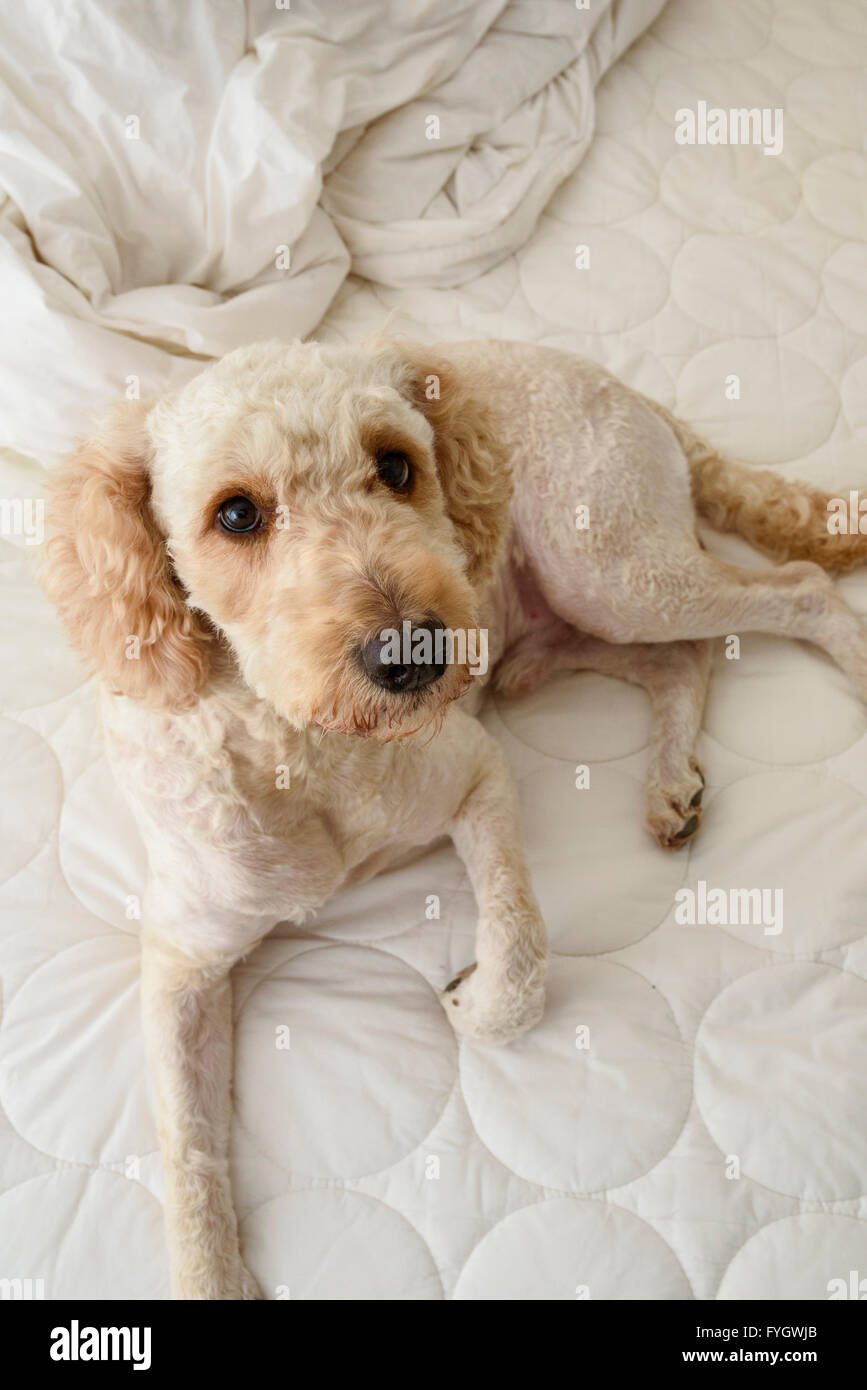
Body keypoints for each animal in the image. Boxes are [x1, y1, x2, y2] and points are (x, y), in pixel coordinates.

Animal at [42, 333, 867, 1289]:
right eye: (236, 515)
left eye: (396, 466)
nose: (416, 651)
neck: (307, 745)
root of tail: (618, 386)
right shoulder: (181, 964)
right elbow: (186, 1148)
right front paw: (210, 1276)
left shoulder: (478, 775)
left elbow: (520, 945)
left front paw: (474, 1003)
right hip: (578, 615)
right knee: (682, 660)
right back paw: (668, 779)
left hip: (610, 571)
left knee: (798, 589)